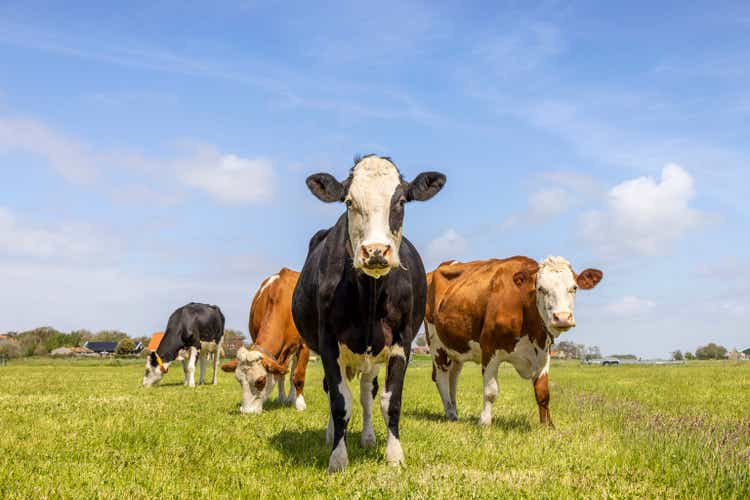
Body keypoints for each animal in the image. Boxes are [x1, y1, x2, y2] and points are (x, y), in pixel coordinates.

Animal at [222, 270, 310, 414]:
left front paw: (300, 405)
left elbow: (298, 375)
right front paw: (284, 399)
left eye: (261, 381)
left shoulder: (304, 345)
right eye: (239, 381)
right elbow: (280, 374)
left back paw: (293, 398)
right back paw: (284, 398)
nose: (247, 412)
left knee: (293, 372)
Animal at [292, 154, 446, 470]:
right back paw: (332, 435)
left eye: (401, 201)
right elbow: (340, 402)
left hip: (373, 355)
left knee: (366, 393)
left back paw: (367, 437)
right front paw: (338, 458)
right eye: (349, 202)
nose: (375, 251)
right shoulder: (328, 343)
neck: (370, 297)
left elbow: (391, 401)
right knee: (336, 392)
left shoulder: (401, 341)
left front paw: (394, 455)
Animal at [428, 258, 604, 426]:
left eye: (574, 288)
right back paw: (450, 413)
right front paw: (484, 422)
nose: (562, 318)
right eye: (541, 289)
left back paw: (454, 411)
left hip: (456, 348)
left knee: (453, 377)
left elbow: (543, 393)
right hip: (436, 344)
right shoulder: (489, 349)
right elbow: (491, 392)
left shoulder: (543, 353)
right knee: (441, 377)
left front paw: (547, 426)